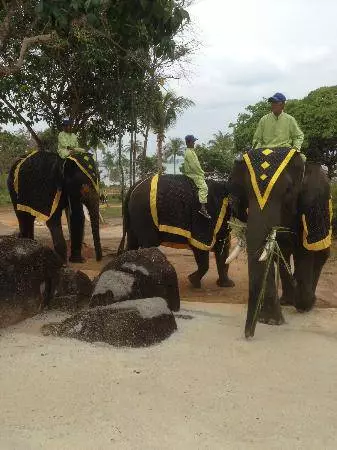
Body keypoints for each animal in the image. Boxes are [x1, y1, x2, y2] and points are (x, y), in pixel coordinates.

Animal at [227, 149, 330, 340]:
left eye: (288, 190)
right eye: (245, 191)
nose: (248, 335)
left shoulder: (308, 205)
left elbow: (303, 252)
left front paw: (304, 305)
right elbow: (271, 252)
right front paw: (270, 321)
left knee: (319, 255)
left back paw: (306, 301)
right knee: (284, 256)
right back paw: (287, 301)